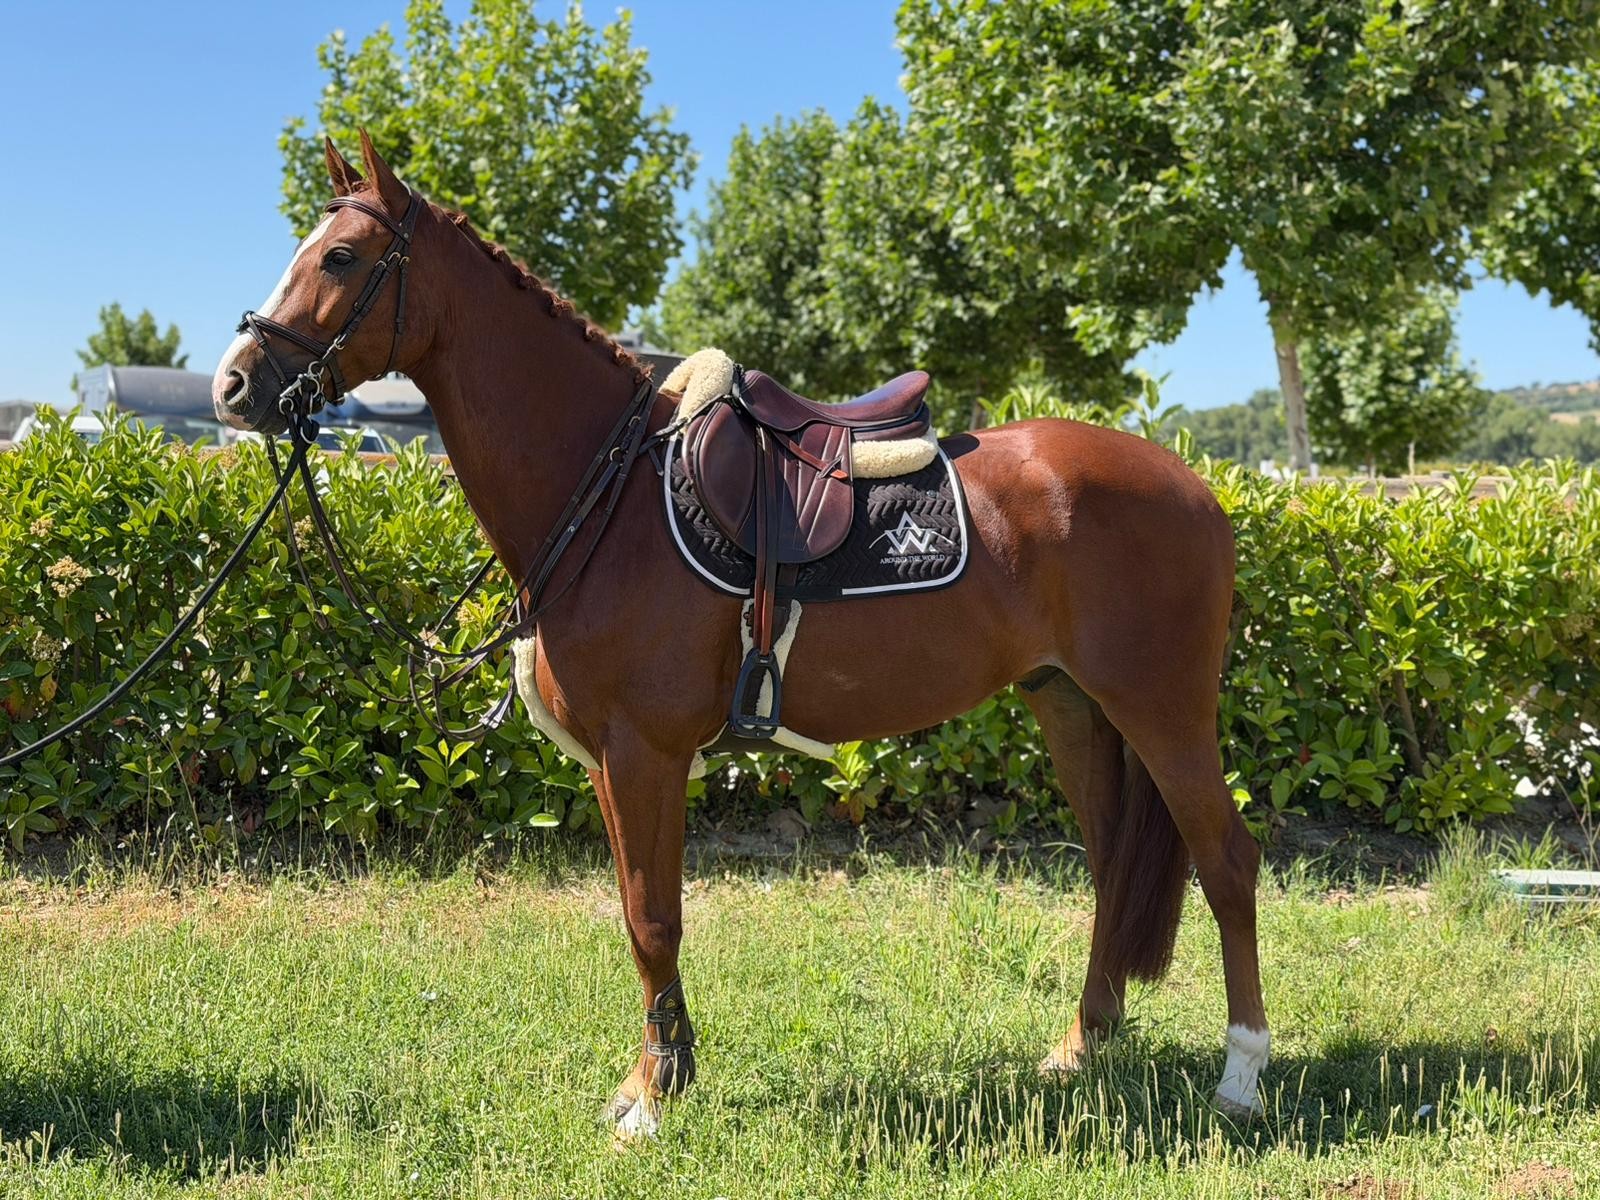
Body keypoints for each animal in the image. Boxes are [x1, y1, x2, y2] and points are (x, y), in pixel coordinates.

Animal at [211, 132, 1268, 1139]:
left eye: (340, 256)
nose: (232, 386)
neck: (610, 494)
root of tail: (1199, 489)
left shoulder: (644, 751)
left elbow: (652, 919)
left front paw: (651, 1098)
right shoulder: (615, 763)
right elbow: (643, 917)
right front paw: (661, 1074)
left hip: (1163, 709)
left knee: (1227, 860)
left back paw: (1242, 1076)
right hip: (1073, 706)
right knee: (1112, 868)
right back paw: (1081, 1044)